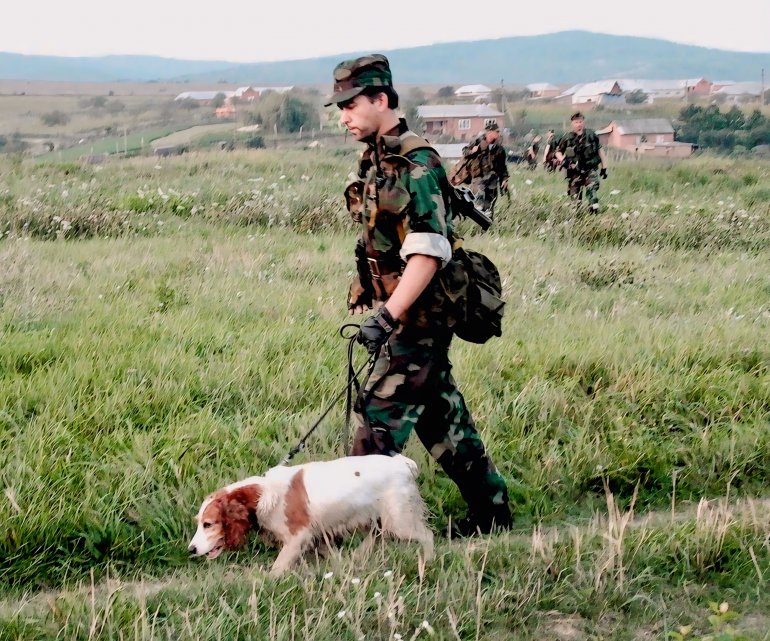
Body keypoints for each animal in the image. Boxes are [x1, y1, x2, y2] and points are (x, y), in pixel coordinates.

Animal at [188, 452, 432, 576]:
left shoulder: (298, 538)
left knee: (427, 536)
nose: (191, 549)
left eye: (208, 524)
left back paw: (428, 562)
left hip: (400, 521)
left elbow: (277, 569)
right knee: (375, 538)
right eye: (199, 523)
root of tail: (402, 463)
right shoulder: (317, 537)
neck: (262, 496)